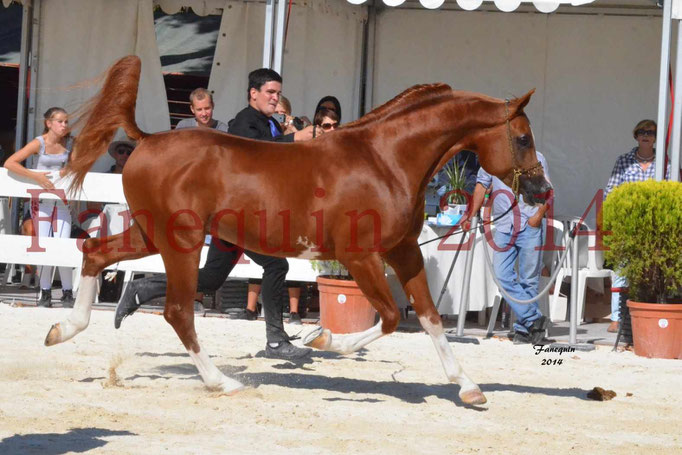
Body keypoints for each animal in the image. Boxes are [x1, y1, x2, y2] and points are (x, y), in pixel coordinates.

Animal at [45, 56, 548, 406]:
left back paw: (63, 329)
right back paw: (222, 383)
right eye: (523, 138)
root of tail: (147, 139)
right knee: (178, 311)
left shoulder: (404, 251)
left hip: (153, 235)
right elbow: (388, 317)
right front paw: (321, 340)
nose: (541, 190)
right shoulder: (360, 255)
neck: (385, 160)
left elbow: (427, 316)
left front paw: (469, 388)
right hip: (181, 243)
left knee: (95, 251)